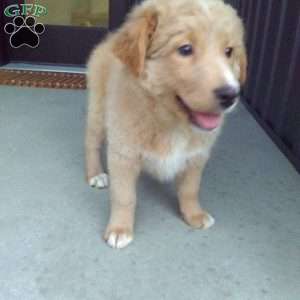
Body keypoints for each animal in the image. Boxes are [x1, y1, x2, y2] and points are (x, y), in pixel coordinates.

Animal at [84, 0, 246, 248]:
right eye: (185, 49)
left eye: (229, 51)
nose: (231, 95)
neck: (171, 121)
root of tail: (110, 39)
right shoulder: (124, 152)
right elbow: (124, 197)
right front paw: (120, 229)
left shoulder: (197, 155)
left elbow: (190, 189)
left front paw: (194, 215)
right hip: (99, 110)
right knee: (91, 141)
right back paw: (95, 174)